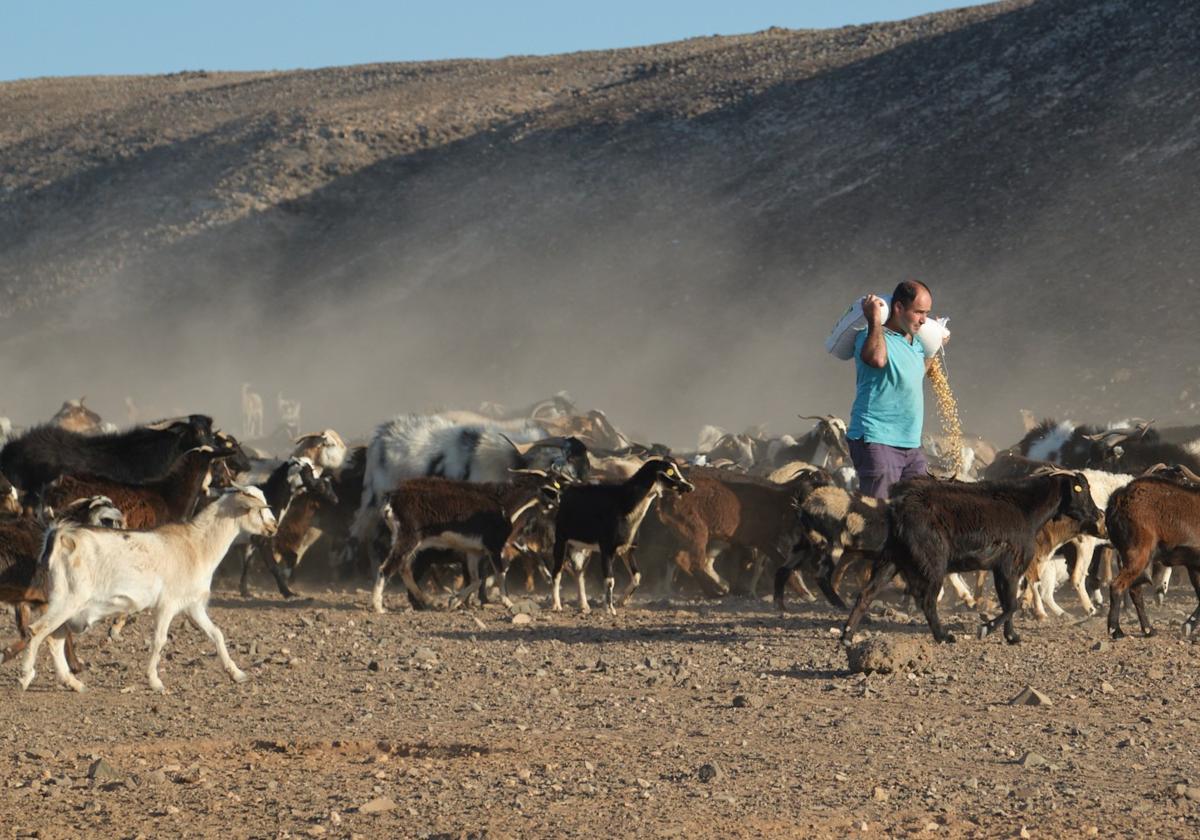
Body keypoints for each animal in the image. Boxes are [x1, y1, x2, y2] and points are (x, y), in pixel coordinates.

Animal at [19, 482, 277, 691]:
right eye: (258, 508)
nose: (274, 527)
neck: (196, 546)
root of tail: (61, 536)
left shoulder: (192, 605)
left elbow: (216, 634)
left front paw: (237, 674)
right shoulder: (167, 605)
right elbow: (159, 640)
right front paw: (155, 681)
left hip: (71, 609)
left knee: (54, 639)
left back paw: (73, 683)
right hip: (67, 601)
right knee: (37, 630)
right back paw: (25, 676)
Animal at [840, 475, 1099, 648]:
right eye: (1082, 489)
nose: (1098, 514)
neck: (1026, 509)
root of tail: (899, 508)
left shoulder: (1001, 569)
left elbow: (1009, 604)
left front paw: (1012, 637)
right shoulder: (1009, 567)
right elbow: (1011, 605)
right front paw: (986, 629)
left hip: (892, 559)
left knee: (866, 594)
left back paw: (847, 636)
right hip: (932, 563)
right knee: (927, 601)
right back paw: (943, 636)